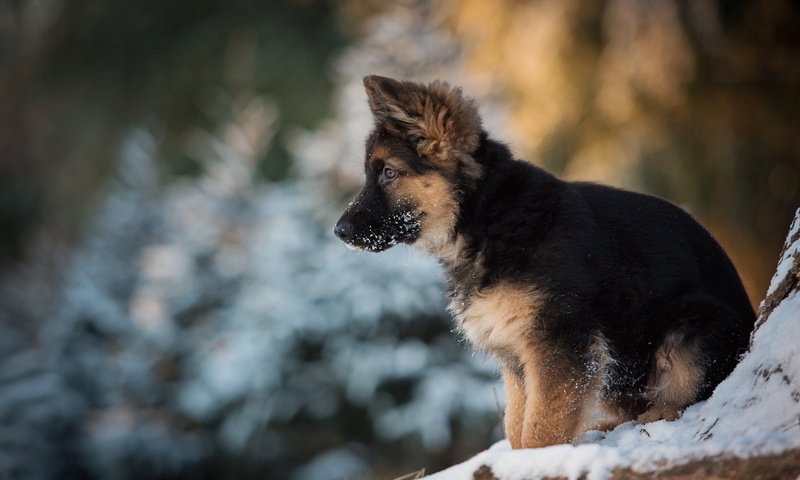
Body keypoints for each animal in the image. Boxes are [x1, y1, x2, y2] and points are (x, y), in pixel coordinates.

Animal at [332, 76, 756, 450]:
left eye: (389, 173)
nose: (338, 231)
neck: (488, 218)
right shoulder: (519, 356)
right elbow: (517, 425)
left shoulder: (560, 346)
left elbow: (542, 429)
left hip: (686, 334)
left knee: (689, 399)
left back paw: (655, 417)